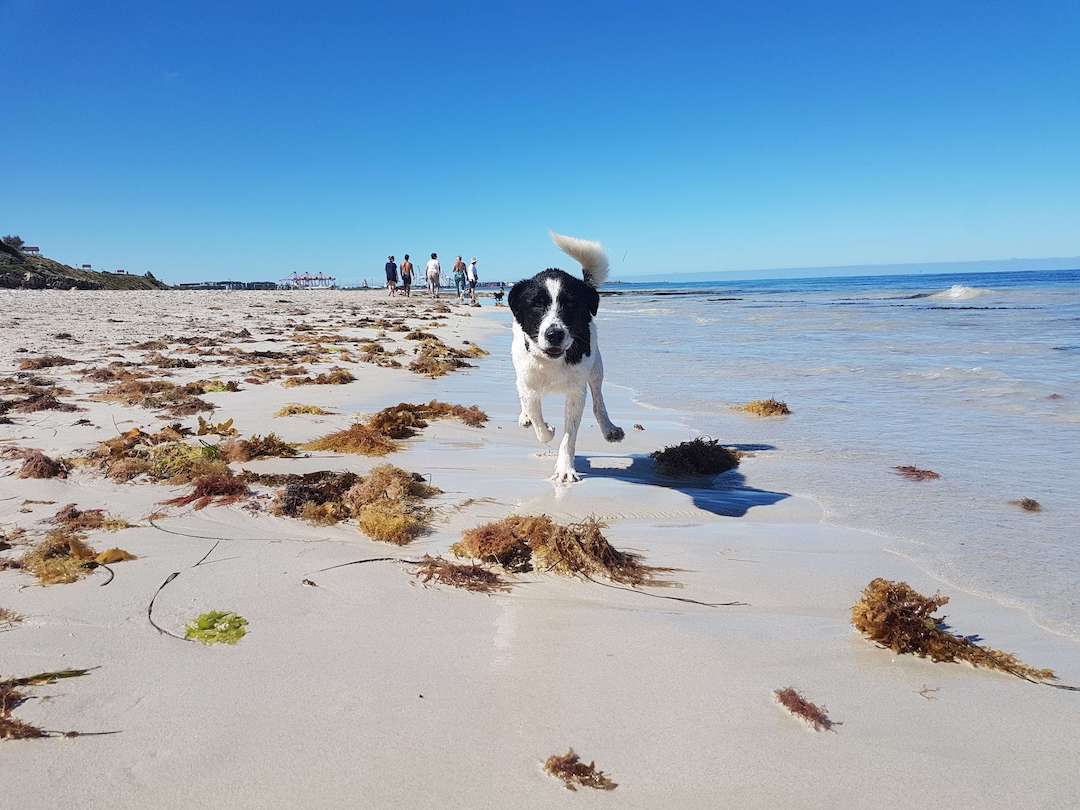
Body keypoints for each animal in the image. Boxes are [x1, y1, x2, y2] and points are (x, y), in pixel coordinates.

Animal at [507, 230, 626, 481]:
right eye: (537, 305)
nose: (555, 334)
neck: (550, 361)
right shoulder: (529, 384)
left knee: (598, 401)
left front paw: (564, 469)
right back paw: (524, 417)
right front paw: (546, 428)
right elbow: (537, 419)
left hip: (596, 366)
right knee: (520, 391)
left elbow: (569, 436)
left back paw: (609, 429)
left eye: (570, 304)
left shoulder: (575, 392)